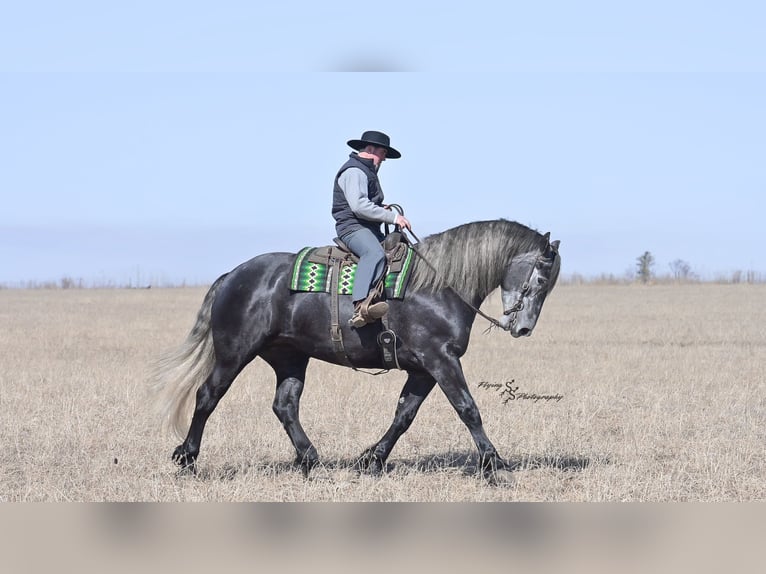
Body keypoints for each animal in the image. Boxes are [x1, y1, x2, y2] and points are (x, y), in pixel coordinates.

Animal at [151, 219, 561, 484]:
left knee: (285, 405)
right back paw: (188, 459)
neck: (437, 286)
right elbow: (468, 409)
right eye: (541, 277)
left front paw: (371, 460)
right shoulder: (440, 360)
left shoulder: (423, 369)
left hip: (290, 358)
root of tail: (232, 276)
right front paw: (494, 466)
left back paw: (311, 461)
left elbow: (404, 415)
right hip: (235, 354)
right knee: (208, 396)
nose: (523, 328)